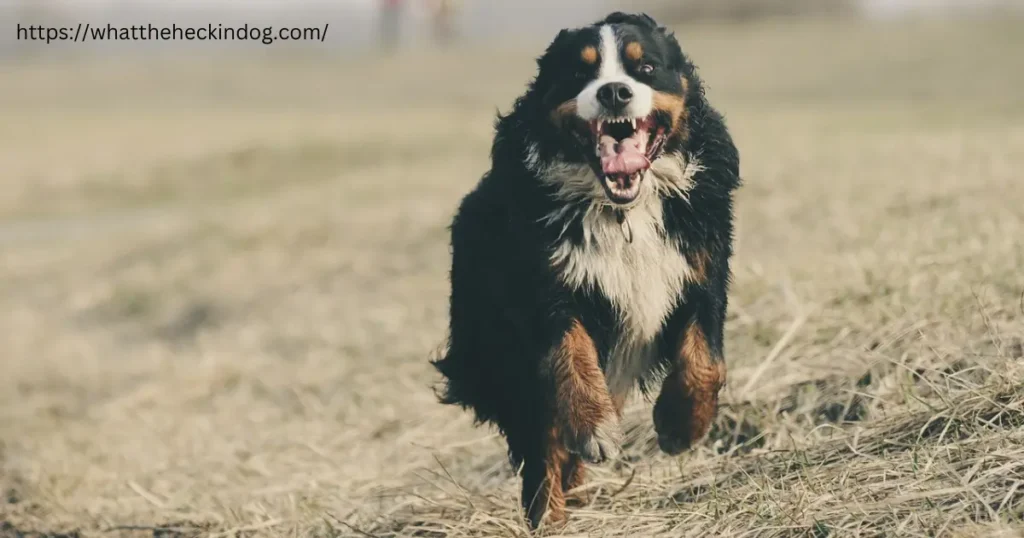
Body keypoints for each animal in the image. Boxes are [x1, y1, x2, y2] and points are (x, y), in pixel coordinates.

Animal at [430, 12, 737, 528]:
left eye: (646, 67)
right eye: (579, 72)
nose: (614, 92)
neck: (622, 212)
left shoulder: (702, 270)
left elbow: (705, 362)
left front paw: (679, 425)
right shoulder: (546, 288)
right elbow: (570, 356)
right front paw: (594, 428)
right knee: (541, 444)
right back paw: (549, 514)